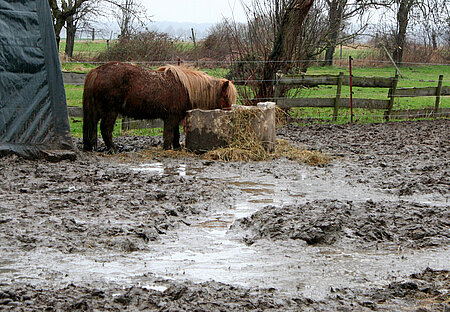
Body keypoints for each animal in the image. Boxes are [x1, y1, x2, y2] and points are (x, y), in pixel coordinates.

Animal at [82, 61, 237, 152]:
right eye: (226, 97)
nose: (229, 114)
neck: (186, 88)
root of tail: (97, 71)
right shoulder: (172, 117)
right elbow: (169, 134)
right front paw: (167, 148)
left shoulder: (175, 117)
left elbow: (176, 134)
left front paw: (176, 147)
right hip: (111, 112)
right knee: (105, 129)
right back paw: (113, 149)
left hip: (98, 112)